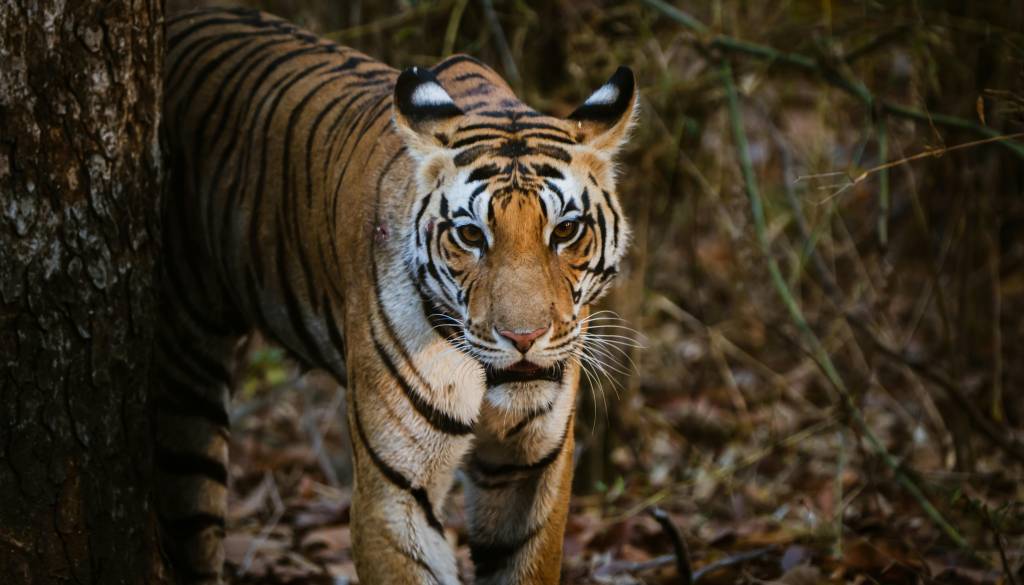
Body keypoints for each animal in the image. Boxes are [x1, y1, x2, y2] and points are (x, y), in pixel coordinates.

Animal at [157, 7, 637, 585]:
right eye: (471, 235)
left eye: (565, 230)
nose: (524, 337)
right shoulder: (394, 490)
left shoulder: (531, 469)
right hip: (187, 383)